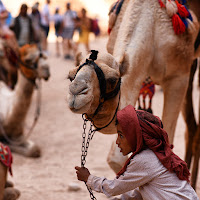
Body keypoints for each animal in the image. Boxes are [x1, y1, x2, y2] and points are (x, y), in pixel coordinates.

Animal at [67, 0, 200, 173]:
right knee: (192, 128)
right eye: (71, 76)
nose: (76, 92)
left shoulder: (178, 76)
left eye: (112, 80)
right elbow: (117, 158)